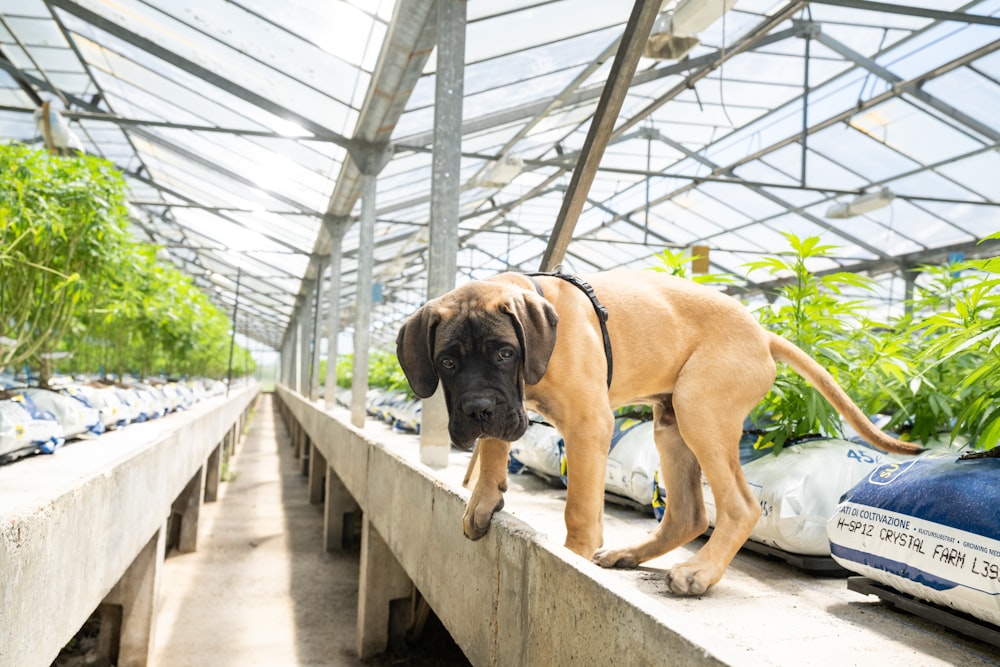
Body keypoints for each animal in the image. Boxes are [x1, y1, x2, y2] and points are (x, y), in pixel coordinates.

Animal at [396, 268, 920, 596]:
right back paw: (631, 554)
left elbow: (579, 509)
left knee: (740, 506)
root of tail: (762, 334)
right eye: (447, 362)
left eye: (505, 353)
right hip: (671, 425)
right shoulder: (508, 408)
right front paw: (484, 500)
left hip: (700, 408)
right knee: (688, 514)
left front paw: (573, 558)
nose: (477, 409)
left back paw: (701, 573)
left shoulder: (589, 424)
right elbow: (492, 448)